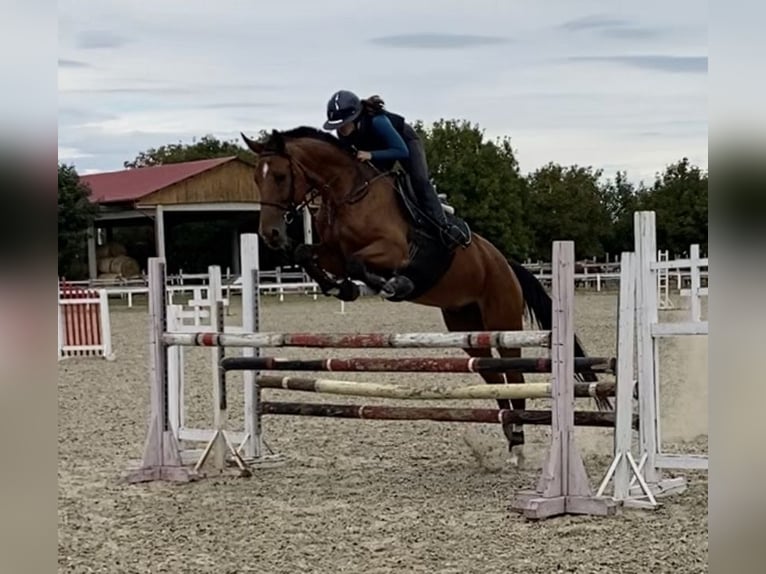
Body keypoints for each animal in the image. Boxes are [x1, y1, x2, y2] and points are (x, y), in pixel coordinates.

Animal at [242, 127, 612, 468]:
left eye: (280, 175)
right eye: (257, 180)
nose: (270, 234)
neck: (348, 194)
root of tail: (504, 262)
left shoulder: (393, 250)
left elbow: (359, 263)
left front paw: (391, 285)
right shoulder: (332, 253)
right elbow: (307, 253)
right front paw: (342, 288)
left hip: (503, 322)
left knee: (515, 377)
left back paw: (518, 443)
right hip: (465, 327)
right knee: (493, 378)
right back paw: (508, 432)